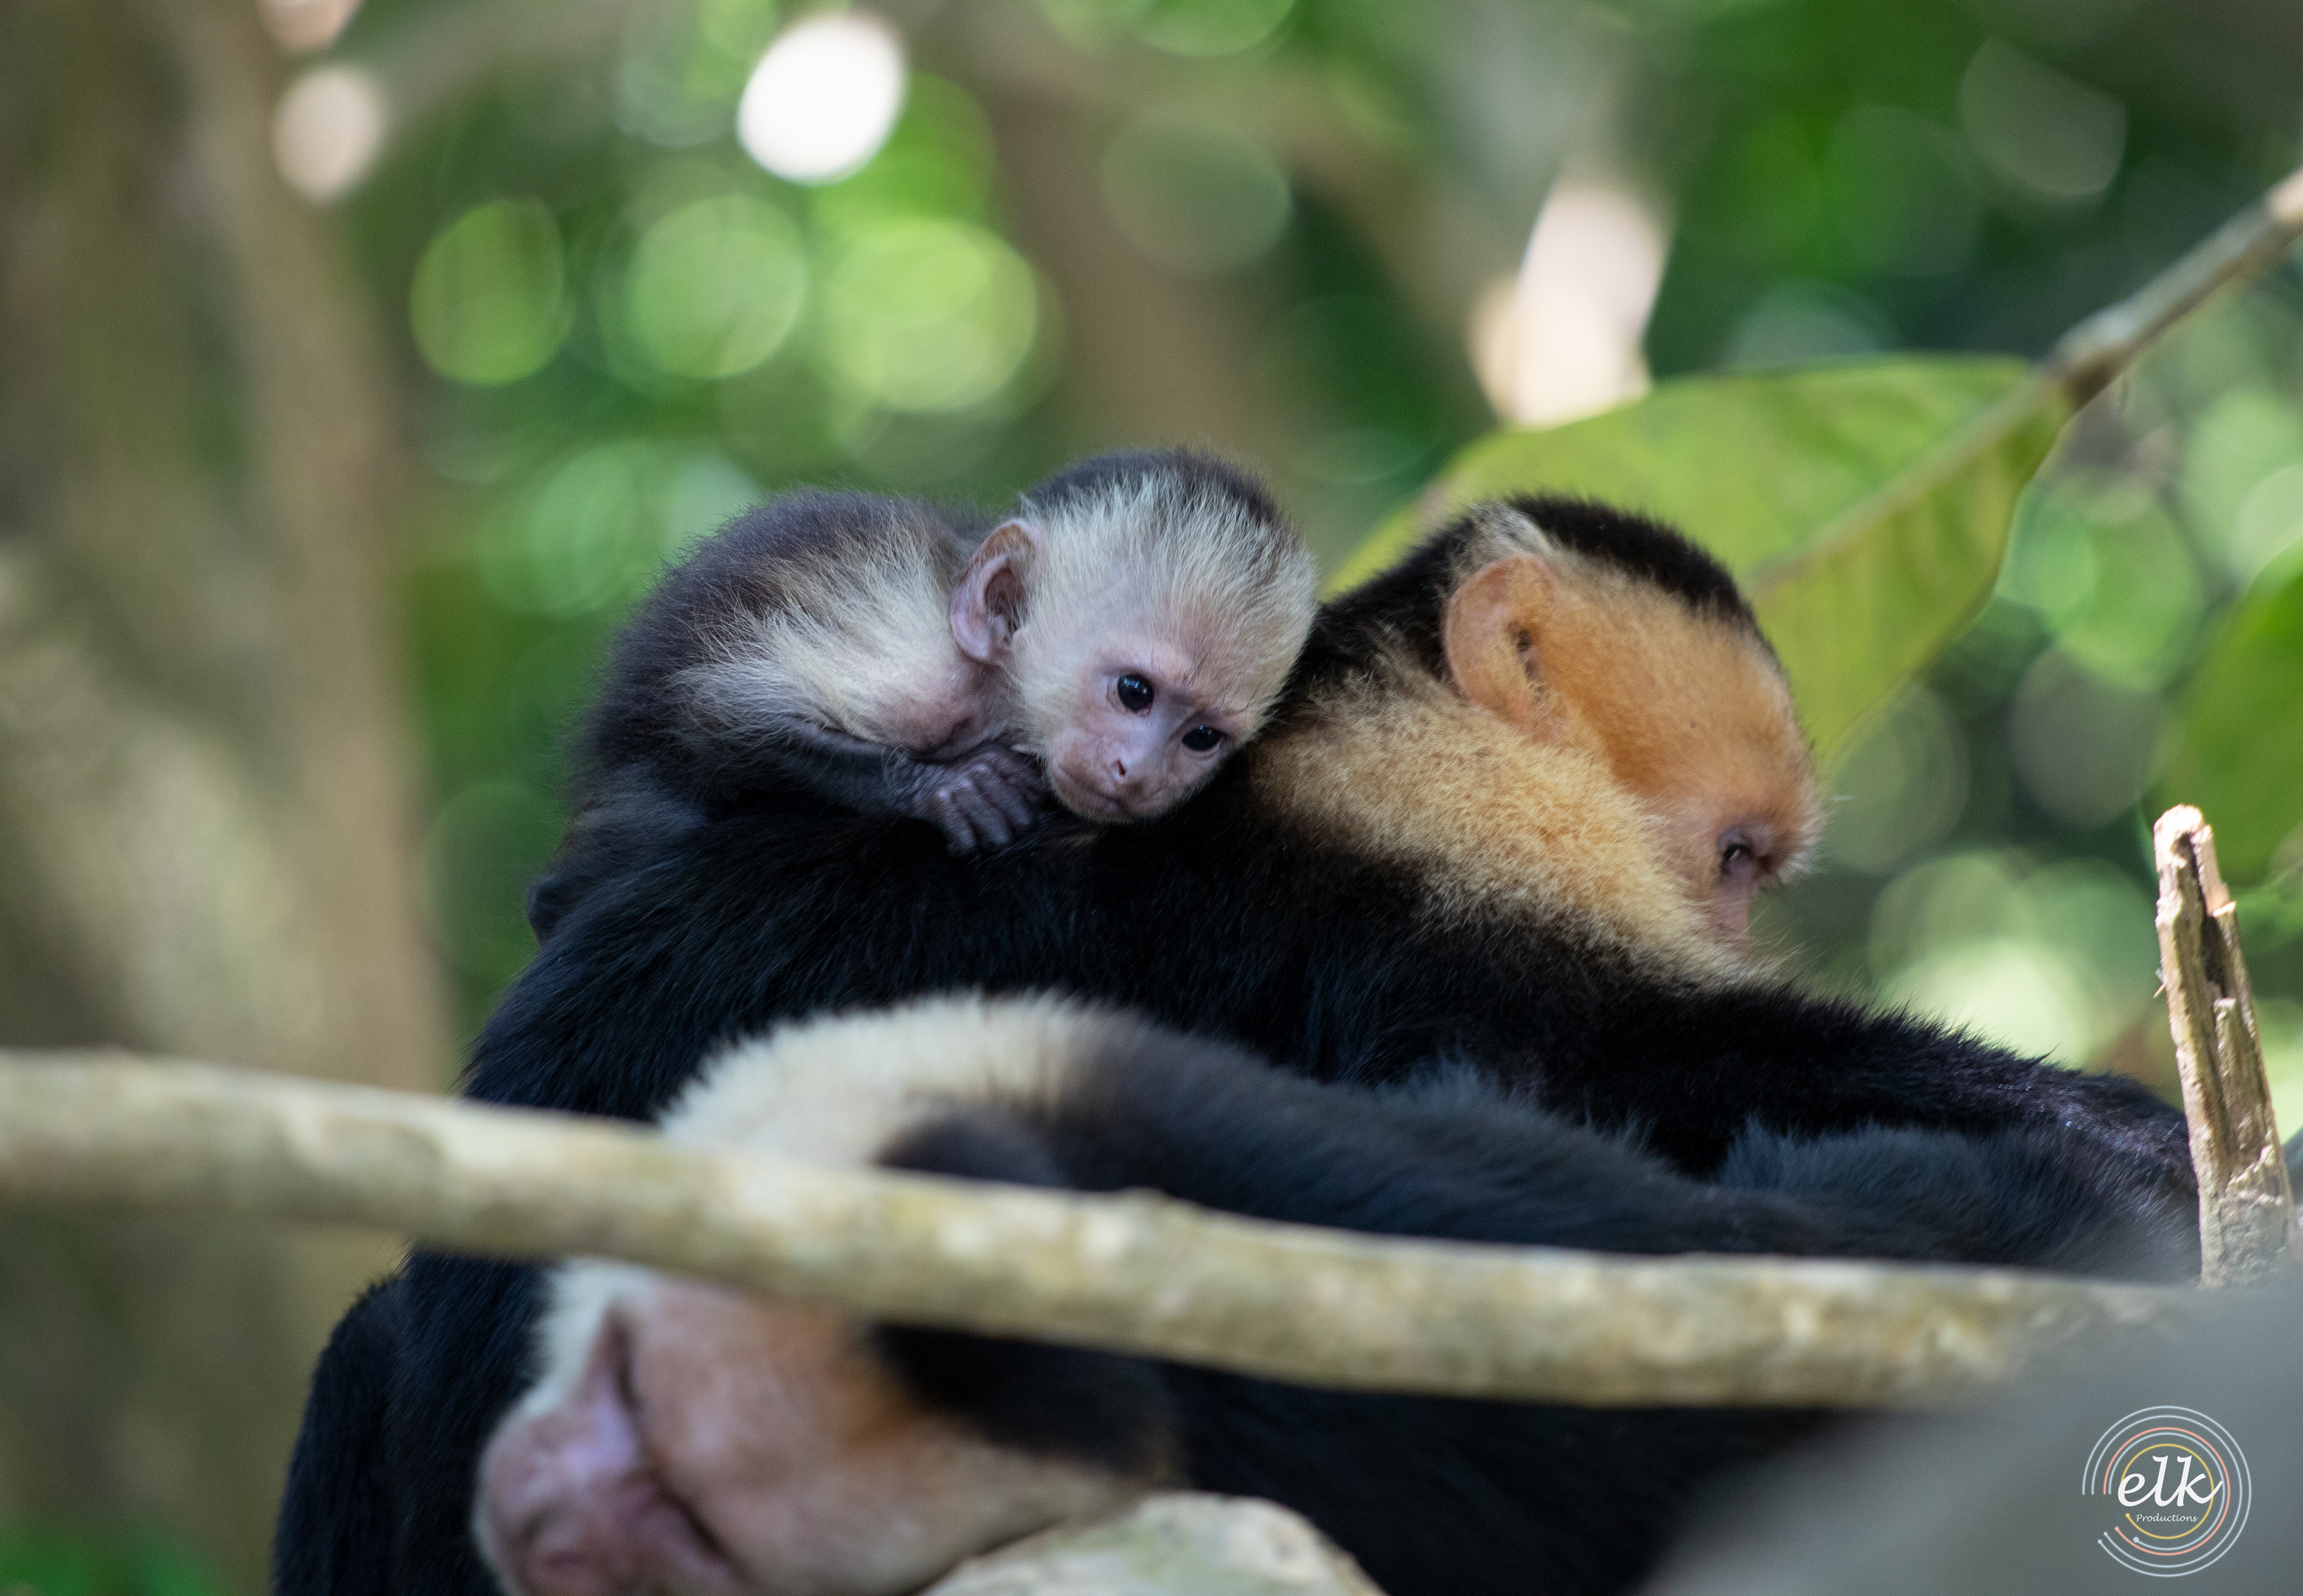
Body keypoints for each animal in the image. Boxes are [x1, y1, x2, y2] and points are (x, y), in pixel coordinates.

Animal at [565, 449, 1317, 860]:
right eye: (1135, 692)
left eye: (1201, 738)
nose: (1140, 776)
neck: (997, 693)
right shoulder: (918, 667)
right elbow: (719, 714)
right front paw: (948, 788)